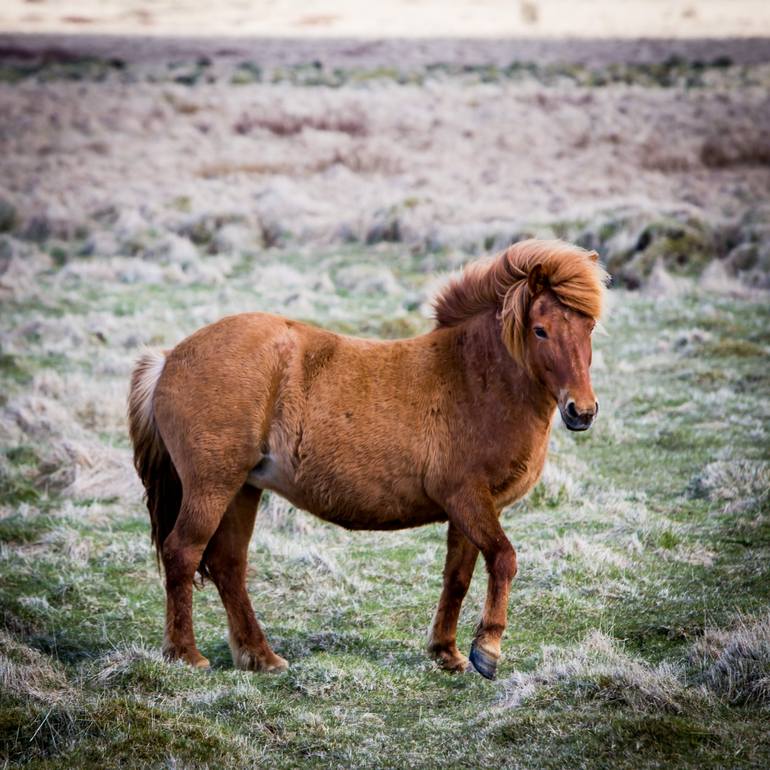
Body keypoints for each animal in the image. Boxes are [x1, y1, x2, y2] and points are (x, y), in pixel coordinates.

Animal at [126, 238, 608, 680]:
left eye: (589, 327)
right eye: (540, 329)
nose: (581, 411)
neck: (473, 378)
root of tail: (169, 359)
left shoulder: (472, 509)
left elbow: (458, 576)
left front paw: (446, 652)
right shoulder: (468, 498)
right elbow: (504, 559)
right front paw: (487, 650)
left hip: (243, 488)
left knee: (229, 566)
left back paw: (260, 656)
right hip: (213, 486)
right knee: (183, 553)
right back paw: (186, 655)